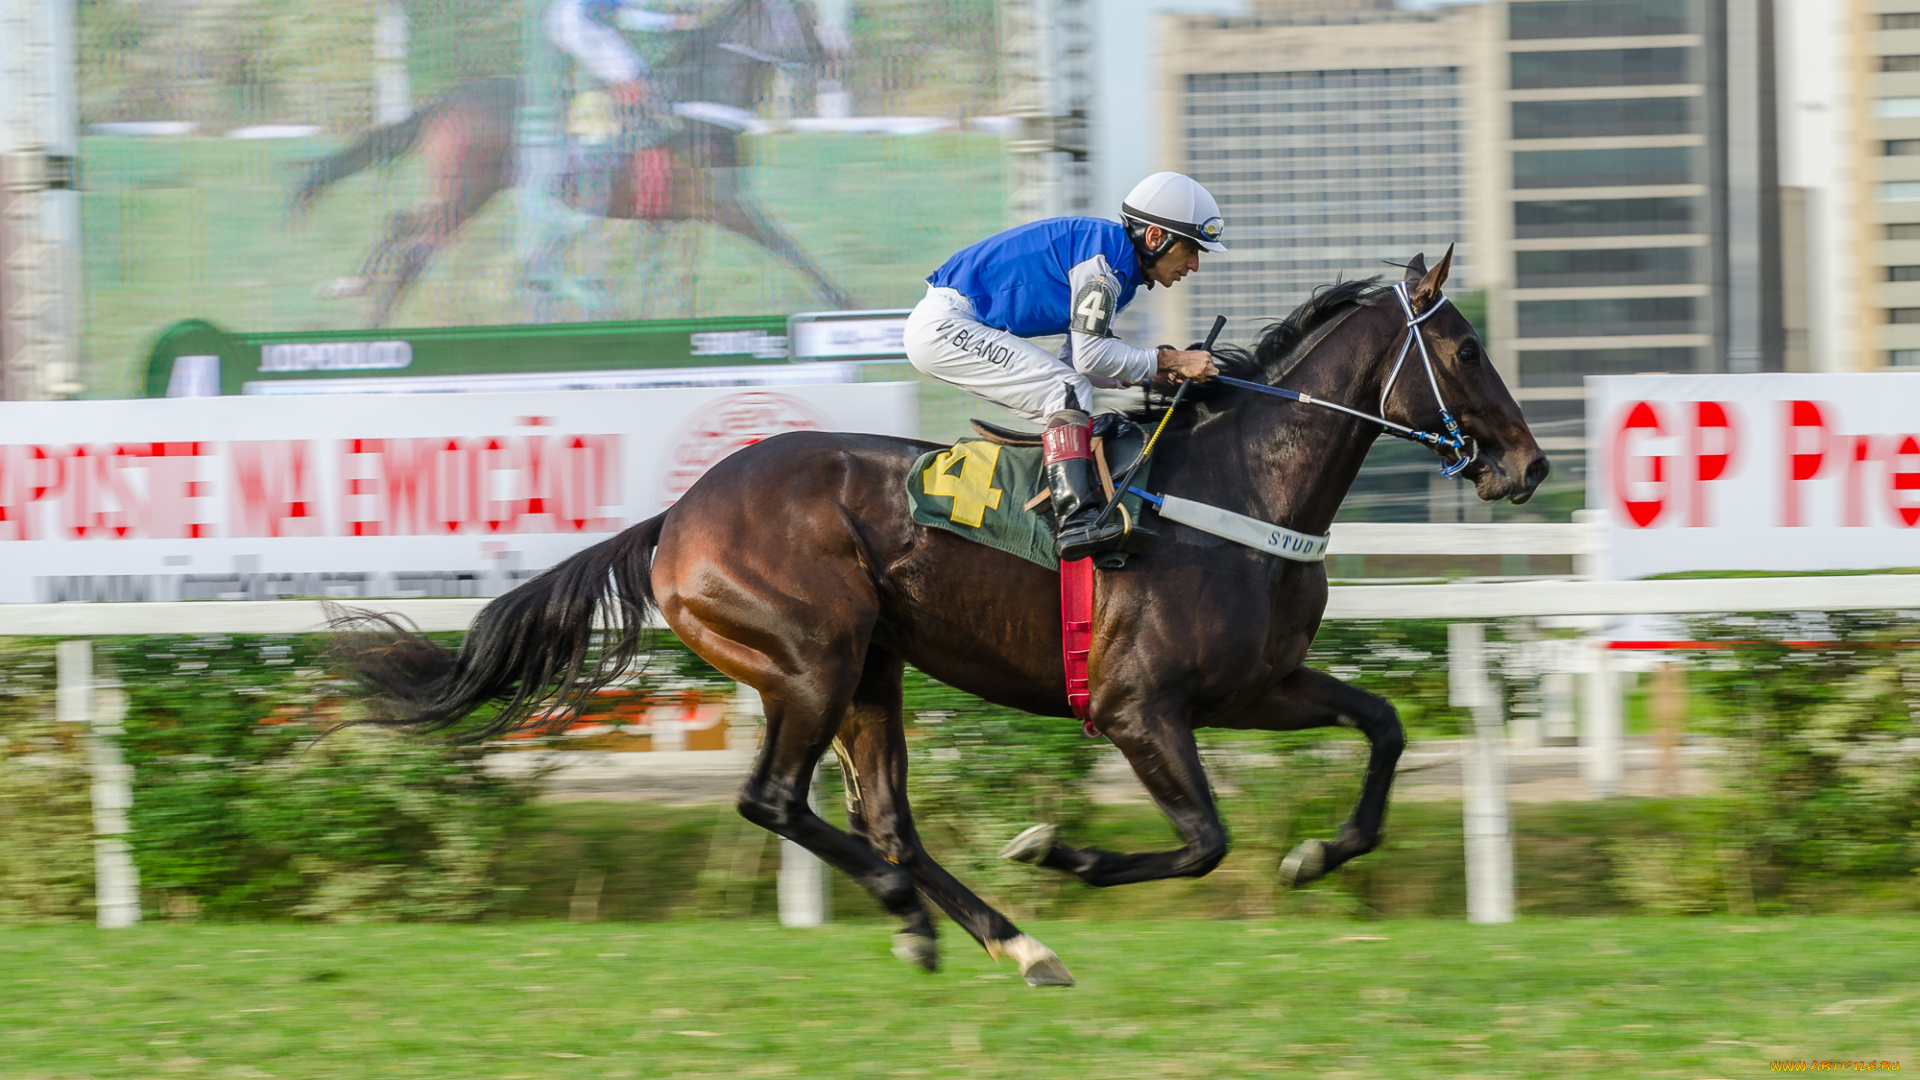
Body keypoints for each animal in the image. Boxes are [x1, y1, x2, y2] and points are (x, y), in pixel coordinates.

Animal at [287, 0, 852, 328]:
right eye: (802, 17)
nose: (834, 63)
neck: (699, 104)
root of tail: (446, 101)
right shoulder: (726, 205)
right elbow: (791, 248)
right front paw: (845, 304)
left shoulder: (672, 217)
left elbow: (672, 284)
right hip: (465, 192)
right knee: (409, 246)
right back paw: (366, 305)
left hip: (462, 194)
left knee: (404, 235)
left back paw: (360, 295)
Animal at [331, 250, 1547, 985]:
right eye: (1465, 350)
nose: (1528, 467)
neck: (1237, 485)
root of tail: (677, 516)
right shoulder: (1138, 707)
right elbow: (1204, 841)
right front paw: (1065, 850)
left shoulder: (1256, 685)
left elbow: (1383, 727)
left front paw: (1318, 852)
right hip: (810, 661)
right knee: (777, 800)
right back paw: (927, 912)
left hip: (872, 670)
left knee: (885, 821)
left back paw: (1000, 940)